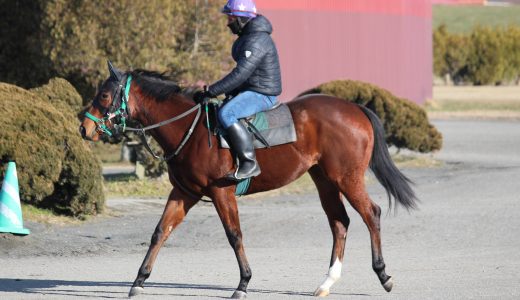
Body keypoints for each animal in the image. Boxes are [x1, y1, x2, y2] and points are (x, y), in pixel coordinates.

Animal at [79, 62, 416, 298]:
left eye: (105, 95)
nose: (84, 128)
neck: (191, 129)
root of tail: (355, 107)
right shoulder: (184, 192)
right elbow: (160, 232)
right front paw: (139, 280)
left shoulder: (221, 192)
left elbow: (234, 235)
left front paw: (243, 283)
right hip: (324, 180)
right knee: (339, 222)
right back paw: (327, 282)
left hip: (346, 178)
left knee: (371, 214)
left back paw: (383, 275)